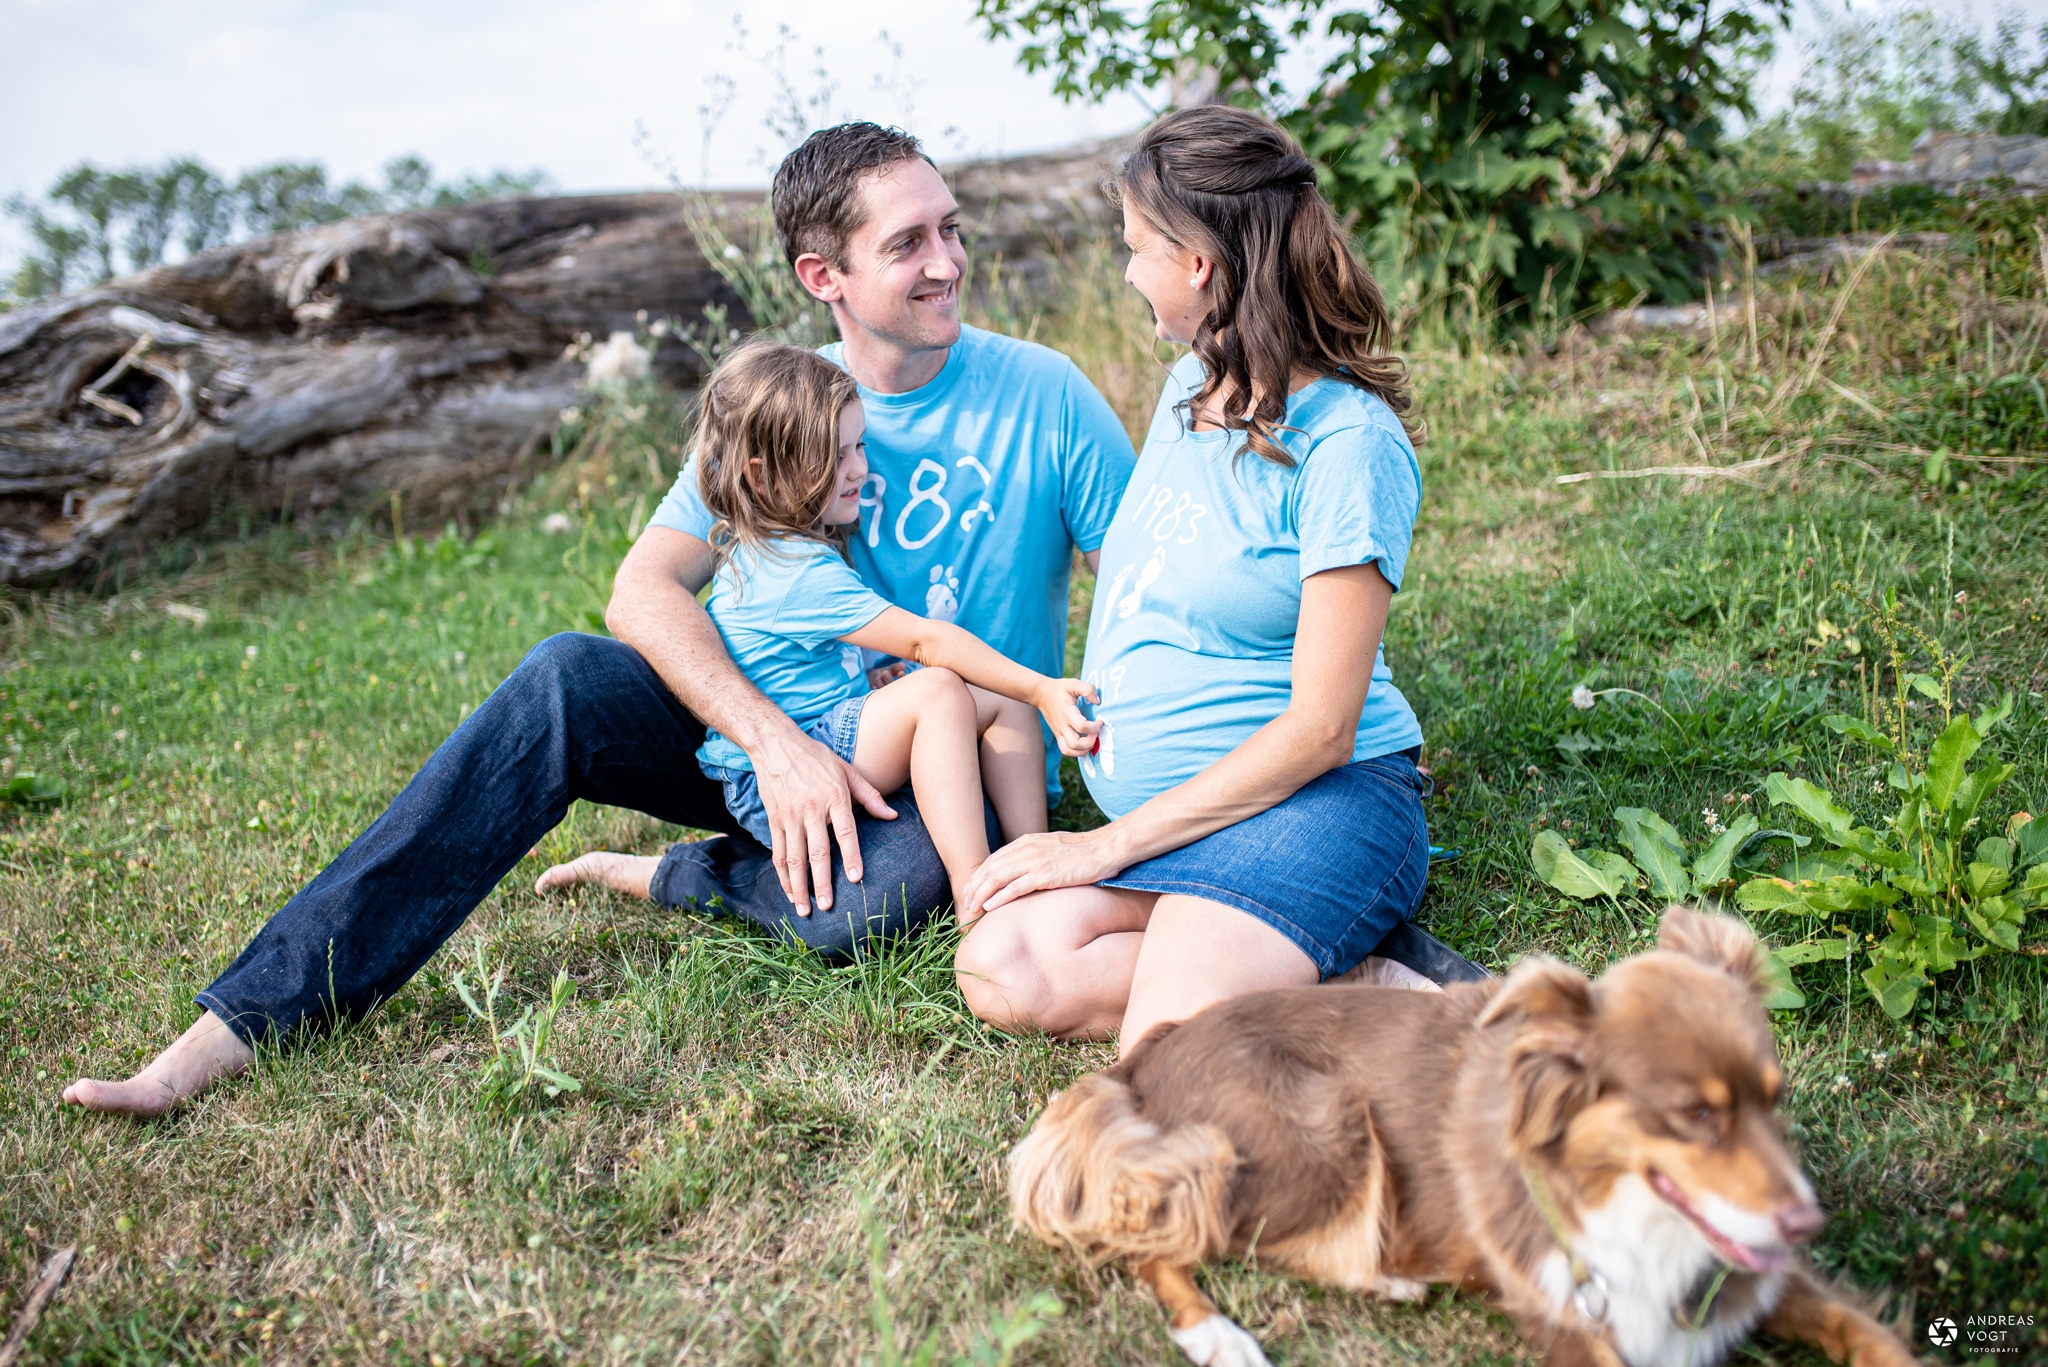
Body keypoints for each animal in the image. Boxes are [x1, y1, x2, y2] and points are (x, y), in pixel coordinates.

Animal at [1007, 909, 1916, 1367]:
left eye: (1775, 1098)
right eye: (1695, 1114)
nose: (1808, 1220)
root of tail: (1143, 1056)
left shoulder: (1752, 1274)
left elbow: (1864, 1329)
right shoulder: (1574, 1320)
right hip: (1323, 1133)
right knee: (1147, 1233)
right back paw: (1219, 1336)